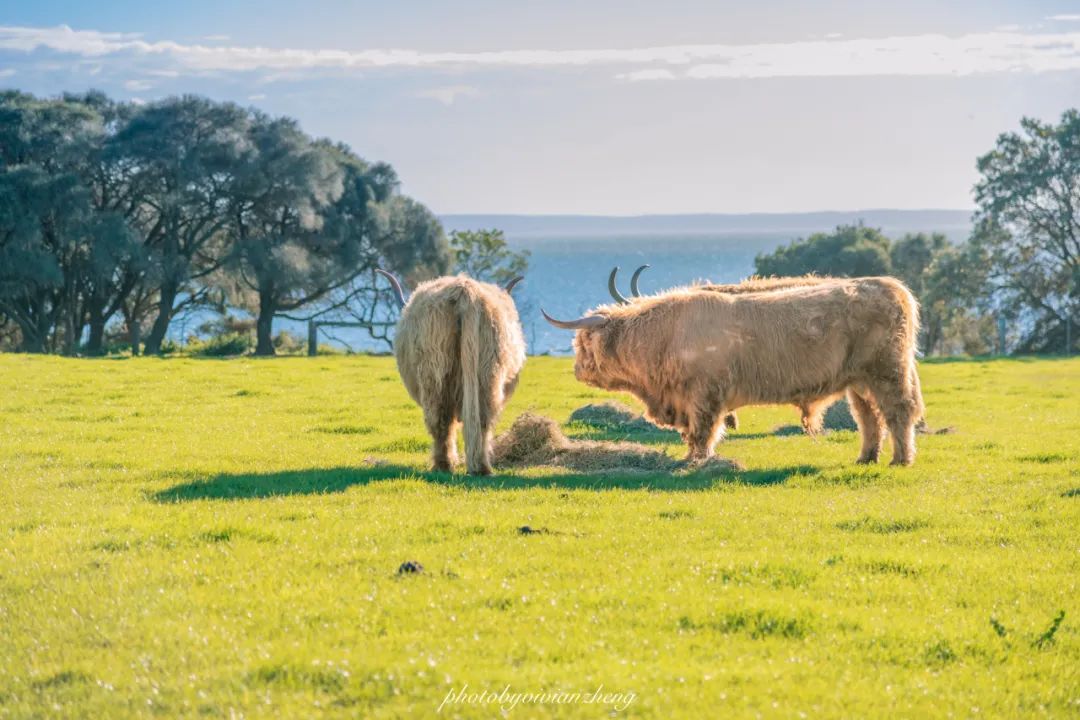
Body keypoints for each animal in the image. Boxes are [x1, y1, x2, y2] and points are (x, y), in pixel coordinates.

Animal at [375, 267, 527, 474]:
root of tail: (463, 291)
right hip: (486, 372)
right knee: (478, 418)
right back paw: (479, 467)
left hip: (434, 371)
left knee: (441, 419)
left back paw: (445, 465)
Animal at [544, 276, 924, 468]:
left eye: (582, 343)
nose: (577, 371)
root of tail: (891, 285)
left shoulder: (704, 394)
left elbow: (703, 431)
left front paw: (696, 461)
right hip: (859, 380)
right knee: (869, 417)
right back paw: (866, 458)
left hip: (887, 372)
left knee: (898, 412)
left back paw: (900, 460)